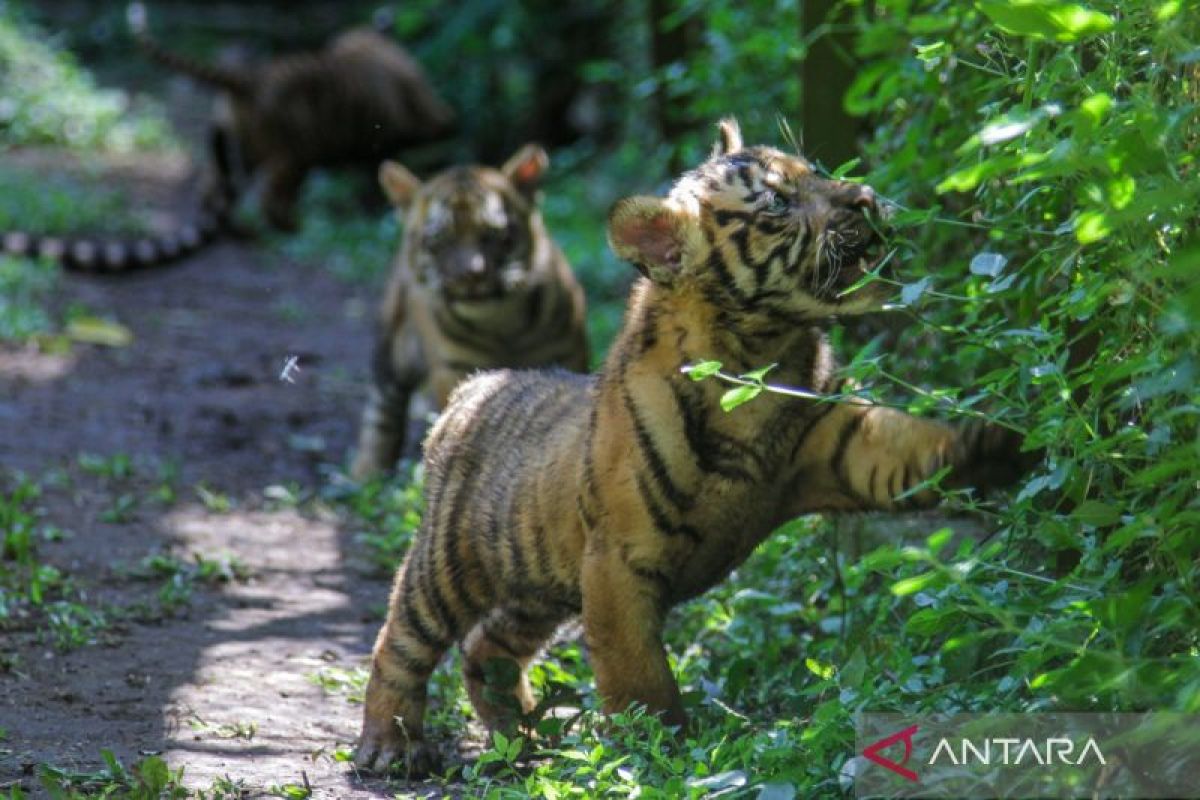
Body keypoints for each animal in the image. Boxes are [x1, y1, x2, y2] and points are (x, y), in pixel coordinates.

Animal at [128, 2, 455, 232]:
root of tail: (249, 79)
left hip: (244, 147)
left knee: (212, 186)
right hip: (293, 156)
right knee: (270, 199)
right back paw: (291, 226)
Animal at [350, 145, 590, 479]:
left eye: (495, 235)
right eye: (440, 241)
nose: (471, 275)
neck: (501, 320)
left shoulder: (567, 354)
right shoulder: (456, 370)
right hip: (393, 352)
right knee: (383, 407)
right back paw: (367, 472)